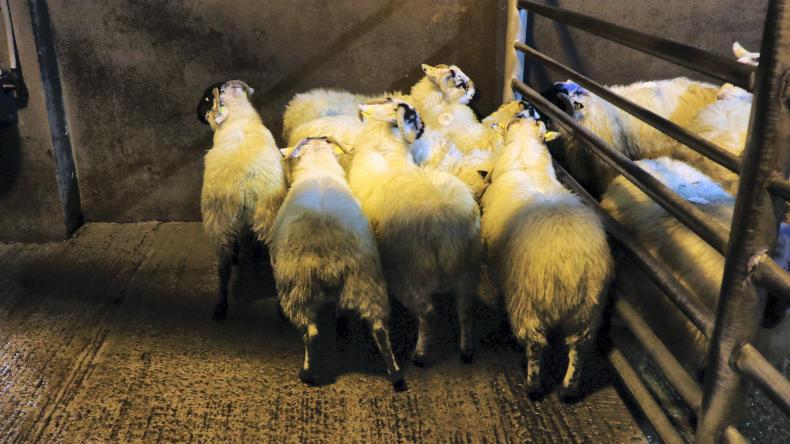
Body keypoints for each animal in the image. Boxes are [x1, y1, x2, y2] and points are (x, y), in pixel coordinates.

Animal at [197, 80, 287, 320]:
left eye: (207, 100)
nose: (200, 115)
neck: (238, 117)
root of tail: (244, 188)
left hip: (219, 221)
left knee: (223, 268)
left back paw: (221, 304)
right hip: (268, 216)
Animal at [270, 137, 405, 390]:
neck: (318, 167)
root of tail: (328, 253)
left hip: (298, 286)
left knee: (311, 332)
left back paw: (307, 373)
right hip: (366, 282)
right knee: (380, 329)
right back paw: (395, 373)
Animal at [349, 98, 482, 365]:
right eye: (414, 116)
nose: (424, 123)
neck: (382, 146)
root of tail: (444, 224)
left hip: (408, 272)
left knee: (427, 313)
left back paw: (420, 354)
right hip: (469, 268)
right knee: (465, 309)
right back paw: (466, 350)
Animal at [480, 112, 613, 399]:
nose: (525, 112)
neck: (526, 163)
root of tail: (567, 266)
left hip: (526, 301)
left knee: (535, 344)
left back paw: (533, 386)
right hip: (589, 308)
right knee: (578, 347)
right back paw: (568, 389)